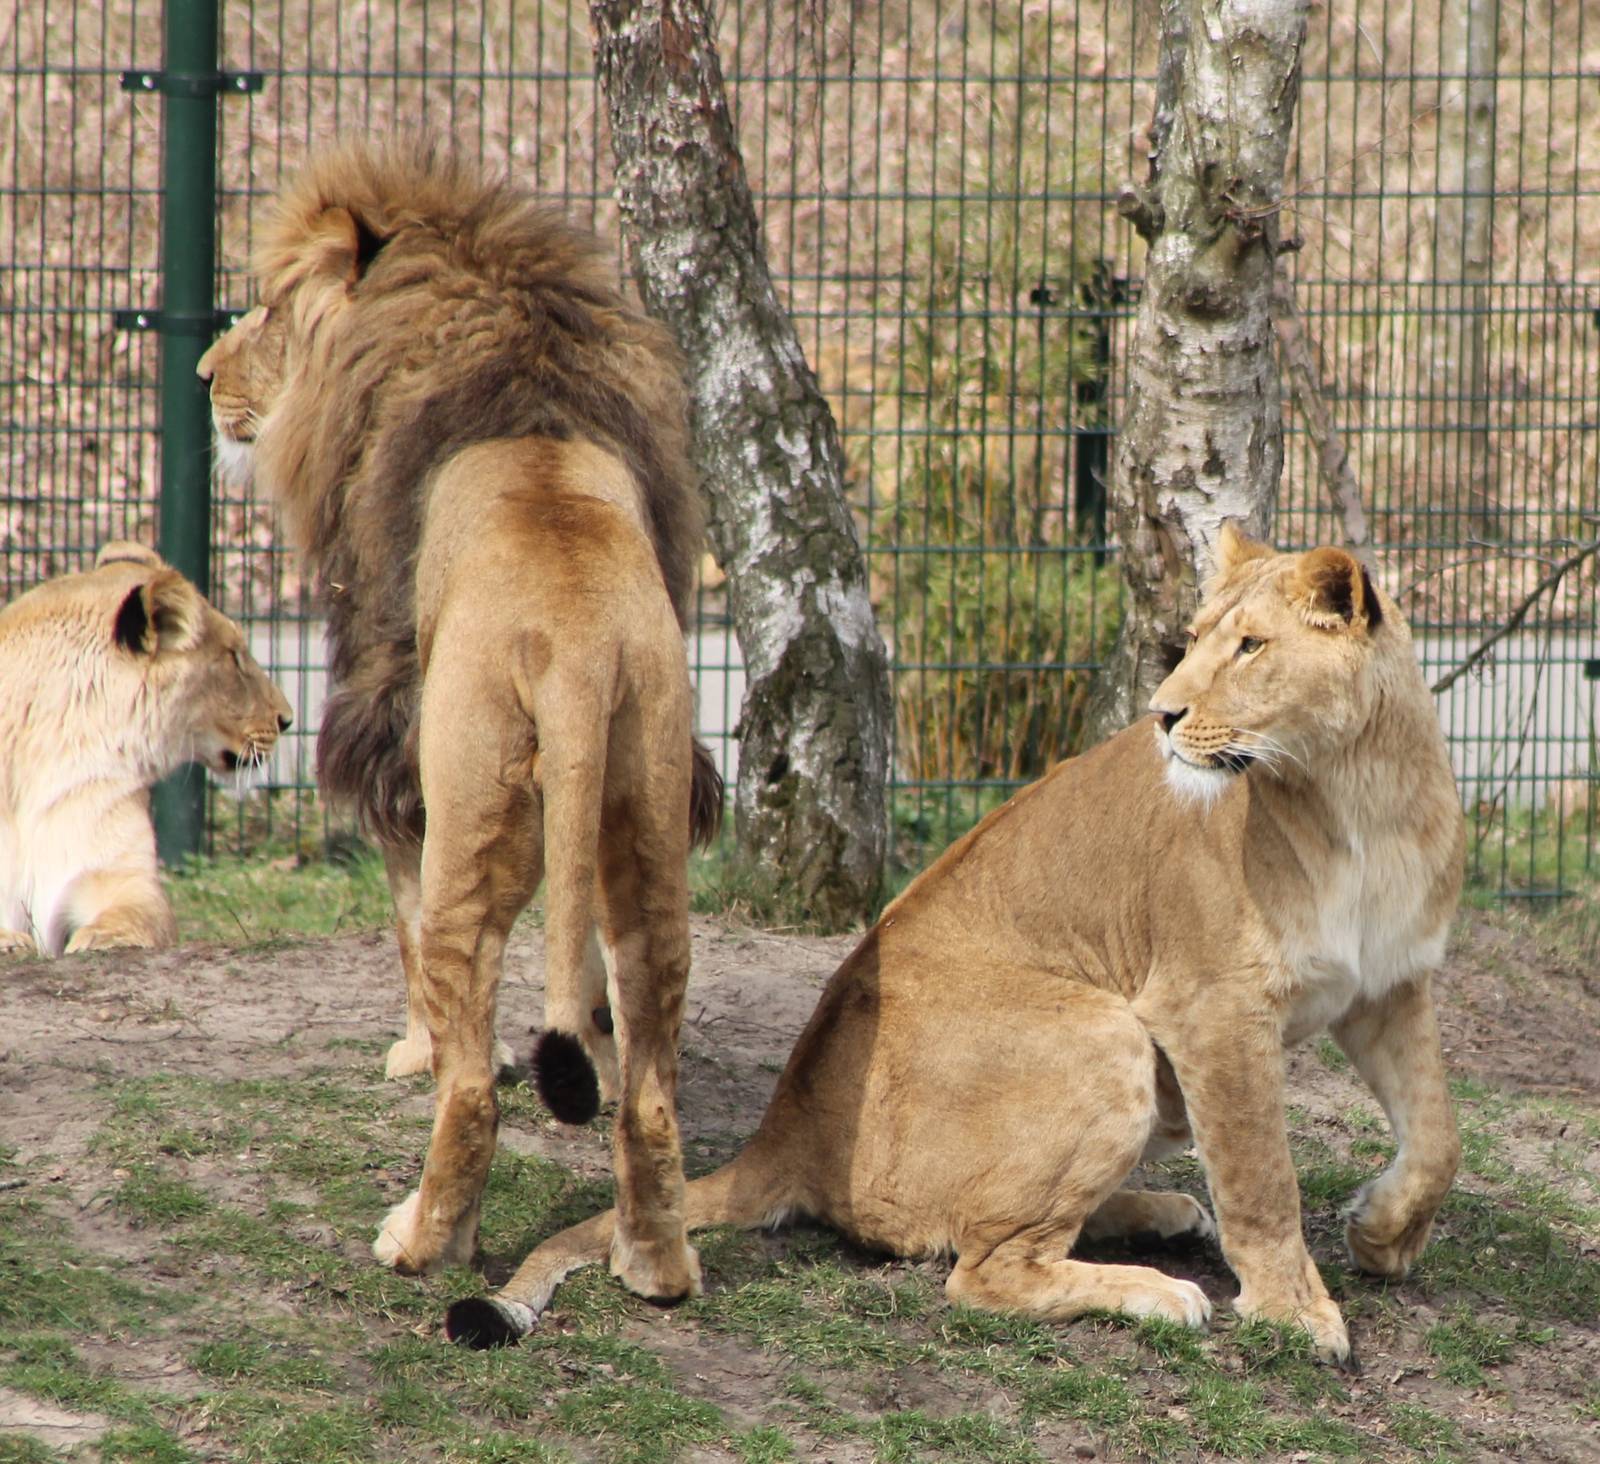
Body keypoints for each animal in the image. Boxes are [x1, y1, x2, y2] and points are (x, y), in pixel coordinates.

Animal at [0, 542, 291, 957]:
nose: (287, 720)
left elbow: (135, 912)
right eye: (234, 657)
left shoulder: (122, 874)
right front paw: (10, 941)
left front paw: (99, 938)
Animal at [197, 138, 720, 1297]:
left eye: (270, 309)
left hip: (472, 818)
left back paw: (423, 1240)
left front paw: (411, 1049)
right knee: (653, 1087)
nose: (204, 375)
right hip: (650, 818)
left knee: (474, 1088)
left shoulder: (385, 726)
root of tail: (577, 648)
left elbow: (396, 922)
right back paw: (654, 1263)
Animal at [446, 525, 1465, 1365]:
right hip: (1107, 1032)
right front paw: (1298, 1313)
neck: (1355, 798)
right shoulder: (1212, 1007)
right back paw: (1160, 1289)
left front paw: (1382, 1236)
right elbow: (1264, 1178)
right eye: (1196, 637)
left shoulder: (1391, 985)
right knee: (982, 1270)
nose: (1163, 715)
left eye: (1251, 647)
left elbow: (1438, 1138)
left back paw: (1164, 1214)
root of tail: (788, 1131)